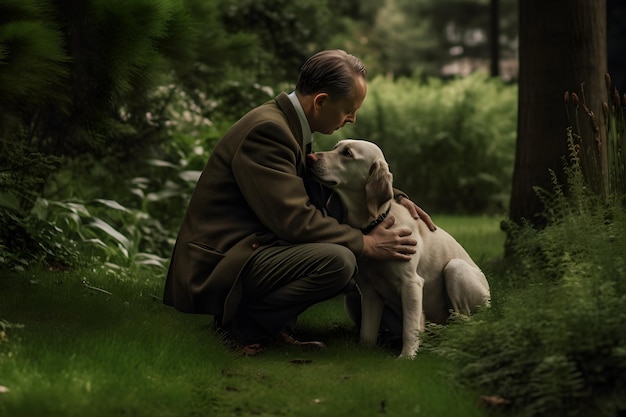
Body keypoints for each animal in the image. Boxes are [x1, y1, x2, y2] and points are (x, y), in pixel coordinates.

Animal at [304, 139, 490, 358]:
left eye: (347, 153)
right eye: (335, 147)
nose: (310, 157)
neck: (373, 223)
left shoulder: (411, 284)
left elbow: (410, 328)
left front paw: (407, 356)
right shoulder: (369, 291)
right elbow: (367, 332)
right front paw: (365, 351)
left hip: (455, 268)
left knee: (464, 323)